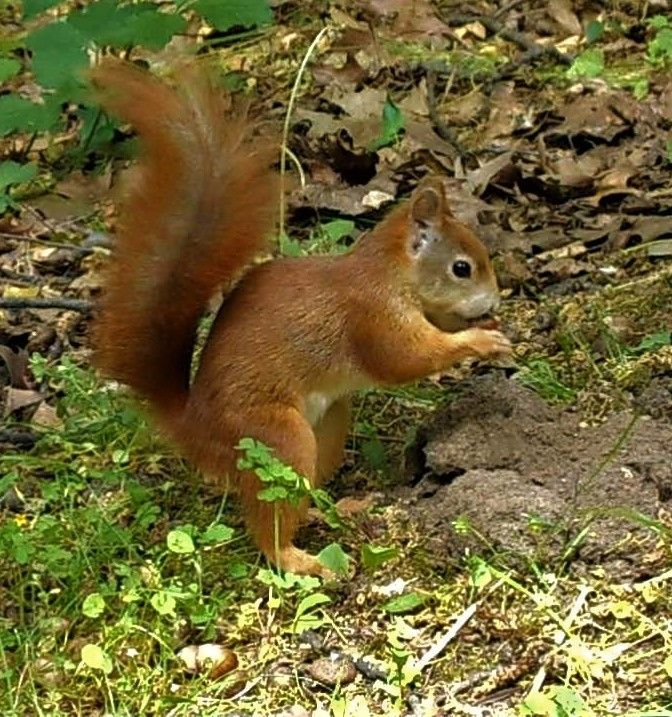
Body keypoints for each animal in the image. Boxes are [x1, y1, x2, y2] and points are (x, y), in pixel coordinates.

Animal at [91, 60, 511, 577]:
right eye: (462, 268)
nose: (494, 303)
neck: (387, 273)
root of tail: (194, 429)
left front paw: (487, 329)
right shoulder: (371, 316)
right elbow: (406, 359)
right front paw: (480, 341)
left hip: (327, 424)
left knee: (307, 489)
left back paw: (341, 509)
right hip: (275, 437)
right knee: (271, 522)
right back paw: (299, 559)